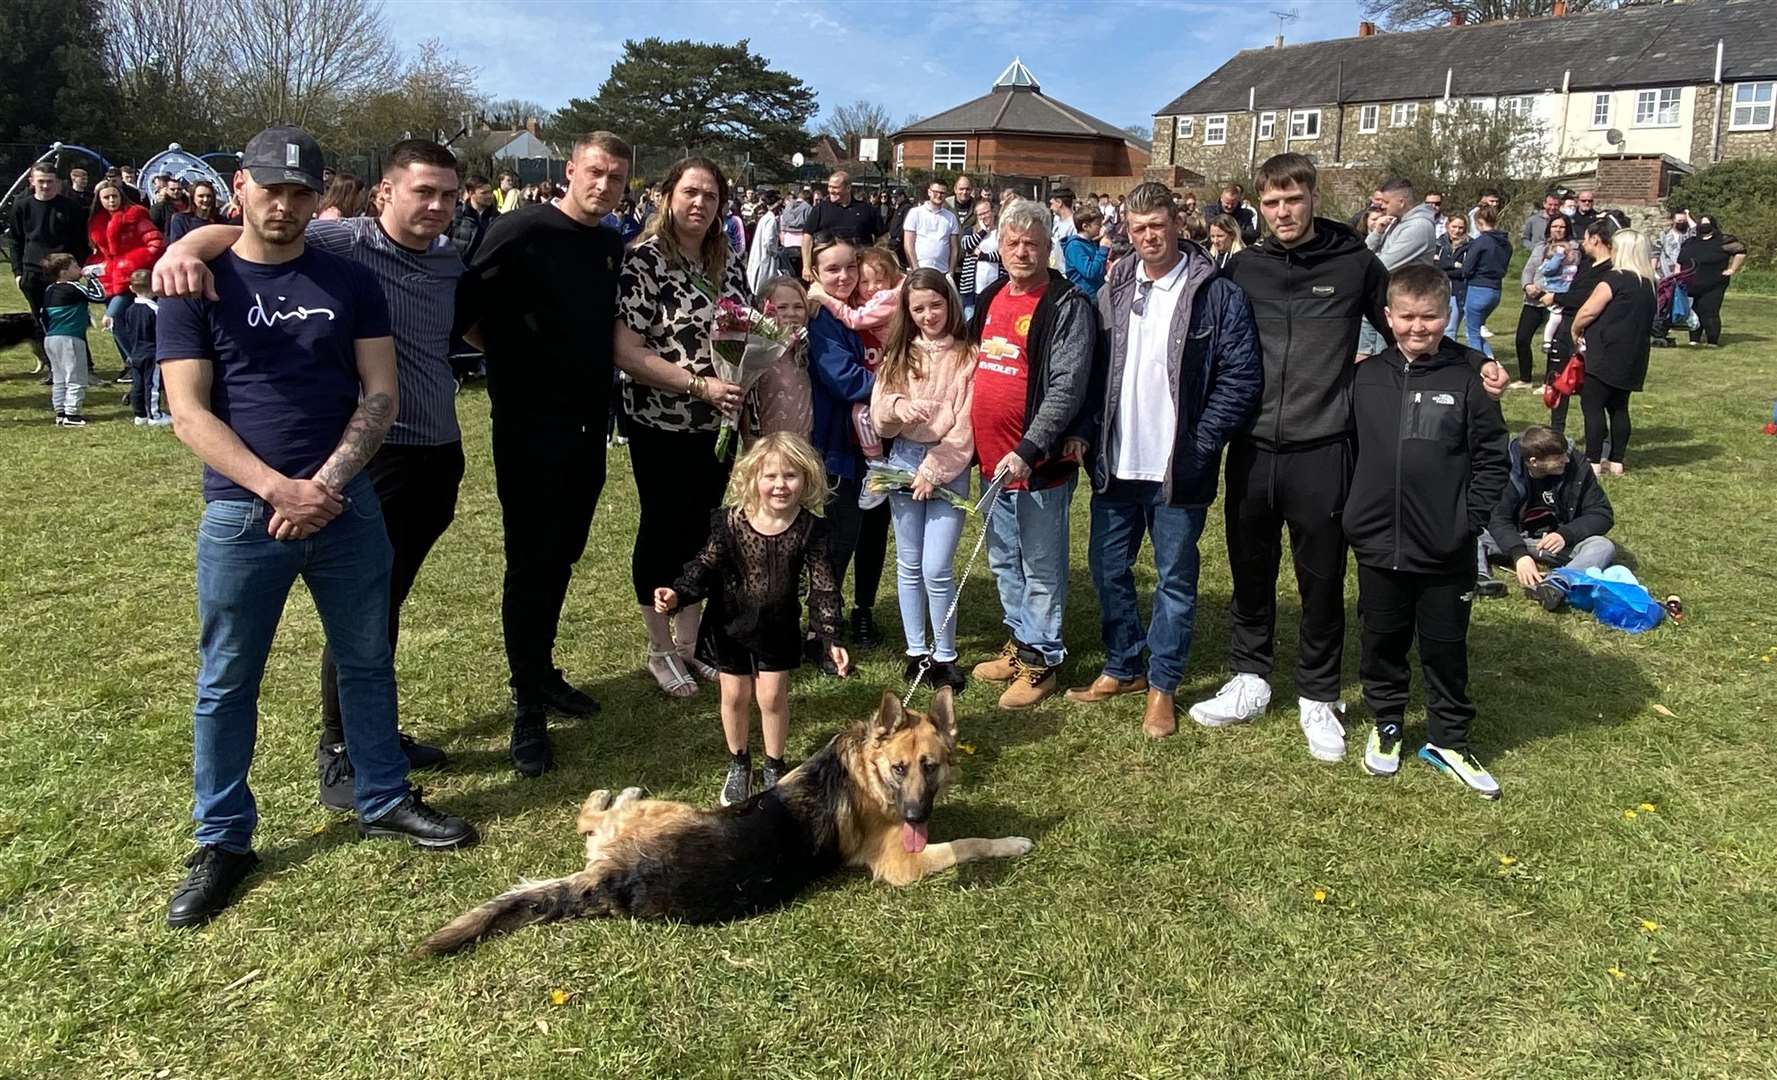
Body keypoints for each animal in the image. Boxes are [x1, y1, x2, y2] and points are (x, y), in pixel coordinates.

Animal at [415, 692, 1030, 952]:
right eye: (899, 769)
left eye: (931, 767)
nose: (915, 815)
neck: (862, 769)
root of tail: (611, 877)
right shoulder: (903, 866)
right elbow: (968, 843)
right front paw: (1012, 841)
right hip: (672, 807)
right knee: (591, 810)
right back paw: (619, 788)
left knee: (589, 822)